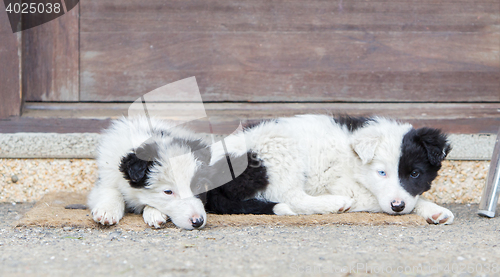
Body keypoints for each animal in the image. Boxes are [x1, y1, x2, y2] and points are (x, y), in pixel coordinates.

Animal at [205, 114, 456, 224]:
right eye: (382, 173)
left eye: (415, 174)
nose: (397, 206)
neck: (355, 159)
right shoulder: (348, 186)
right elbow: (375, 198)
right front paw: (432, 208)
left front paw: (433, 211)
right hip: (279, 150)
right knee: (290, 196)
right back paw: (335, 203)